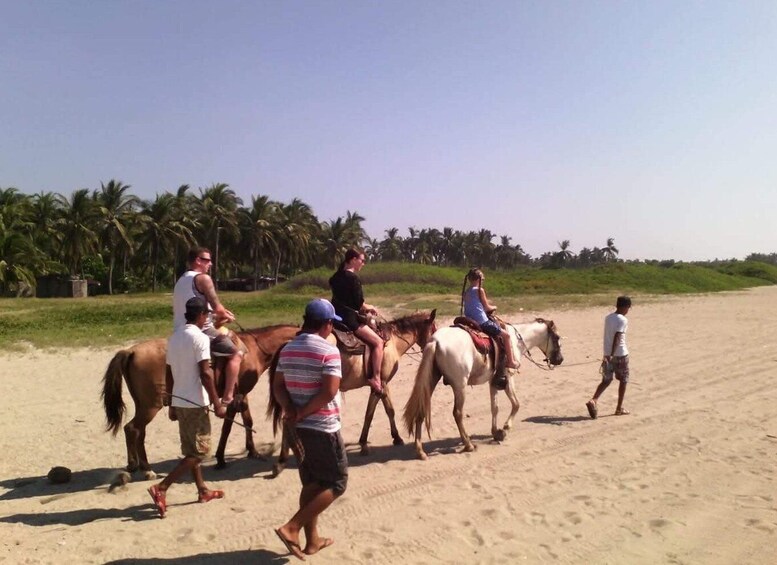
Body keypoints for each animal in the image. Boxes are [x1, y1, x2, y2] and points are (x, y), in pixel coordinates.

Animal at [99, 324, 298, 478]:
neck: (253, 349)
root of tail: (131, 350)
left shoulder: (242, 394)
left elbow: (248, 421)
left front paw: (253, 451)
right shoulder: (234, 397)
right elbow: (227, 427)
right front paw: (220, 458)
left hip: (143, 406)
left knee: (136, 431)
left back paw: (136, 465)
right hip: (151, 406)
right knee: (133, 429)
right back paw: (146, 470)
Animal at [266, 310, 436, 474]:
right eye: (434, 329)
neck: (392, 342)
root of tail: (287, 344)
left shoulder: (378, 386)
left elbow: (377, 412)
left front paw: (378, 441)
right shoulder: (382, 383)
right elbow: (382, 412)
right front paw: (385, 440)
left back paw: (283, 460)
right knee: (288, 420)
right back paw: (283, 460)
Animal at [404, 318, 560, 458]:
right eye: (557, 337)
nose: (560, 359)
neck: (517, 341)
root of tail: (435, 341)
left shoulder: (494, 382)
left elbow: (494, 407)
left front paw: (496, 432)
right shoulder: (508, 378)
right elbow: (516, 404)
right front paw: (505, 429)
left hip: (431, 381)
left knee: (421, 409)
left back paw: (420, 451)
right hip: (460, 386)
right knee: (458, 413)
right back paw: (468, 445)